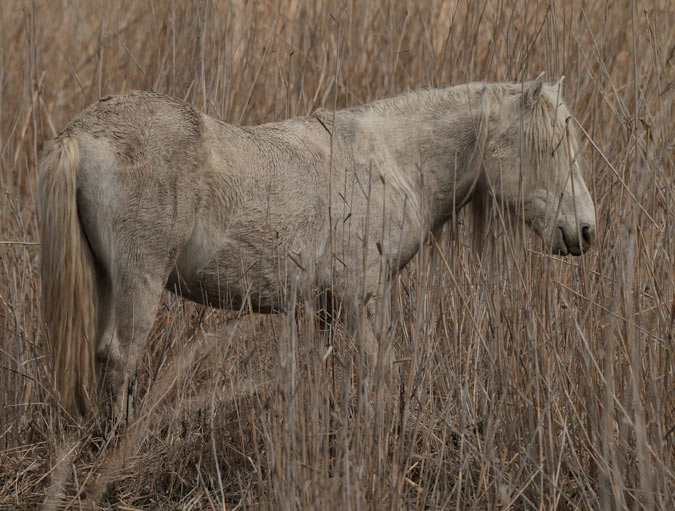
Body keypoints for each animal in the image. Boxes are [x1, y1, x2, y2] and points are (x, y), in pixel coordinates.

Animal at [38, 76, 596, 420]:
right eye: (550, 148)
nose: (585, 231)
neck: (393, 161)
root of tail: (79, 134)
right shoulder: (363, 297)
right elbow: (374, 370)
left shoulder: (322, 307)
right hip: (140, 281)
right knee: (120, 358)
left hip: (108, 280)